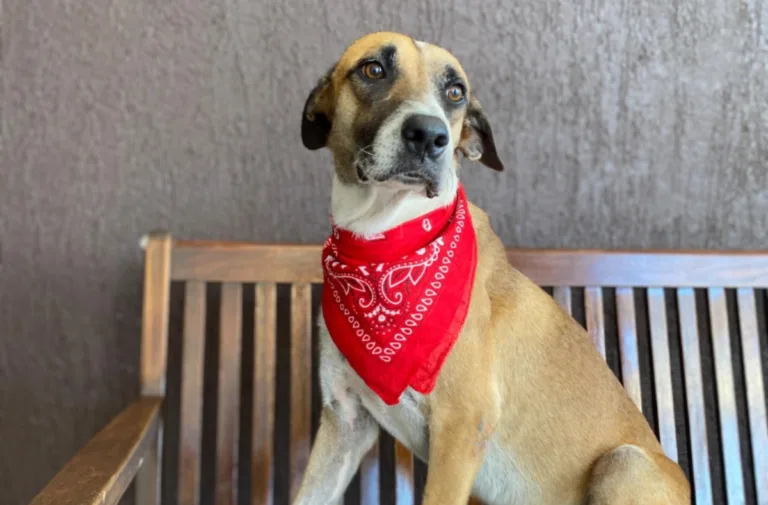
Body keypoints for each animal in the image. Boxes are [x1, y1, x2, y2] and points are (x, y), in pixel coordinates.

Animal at [294, 31, 688, 504]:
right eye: (373, 69)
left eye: (455, 92)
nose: (429, 135)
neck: (380, 242)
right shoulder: (346, 421)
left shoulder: (461, 426)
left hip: (625, 462)